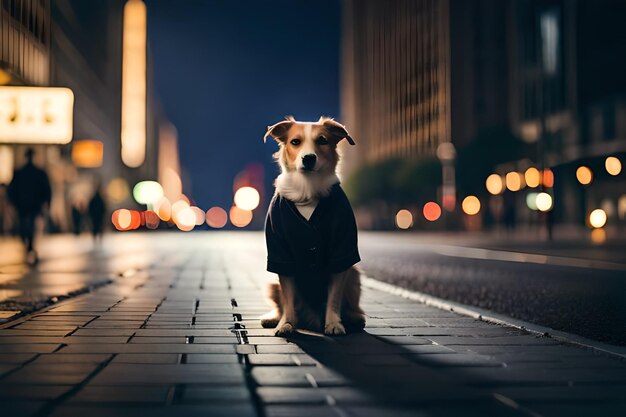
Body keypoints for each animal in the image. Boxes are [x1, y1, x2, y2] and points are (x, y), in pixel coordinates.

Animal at [260, 115, 366, 336]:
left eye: (322, 140)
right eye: (295, 142)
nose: (308, 158)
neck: (307, 190)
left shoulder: (341, 251)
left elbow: (334, 297)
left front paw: (333, 323)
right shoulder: (280, 254)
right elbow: (288, 298)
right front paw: (286, 323)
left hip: (354, 274)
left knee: (351, 304)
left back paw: (354, 318)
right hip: (272, 283)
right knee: (282, 303)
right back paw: (274, 318)